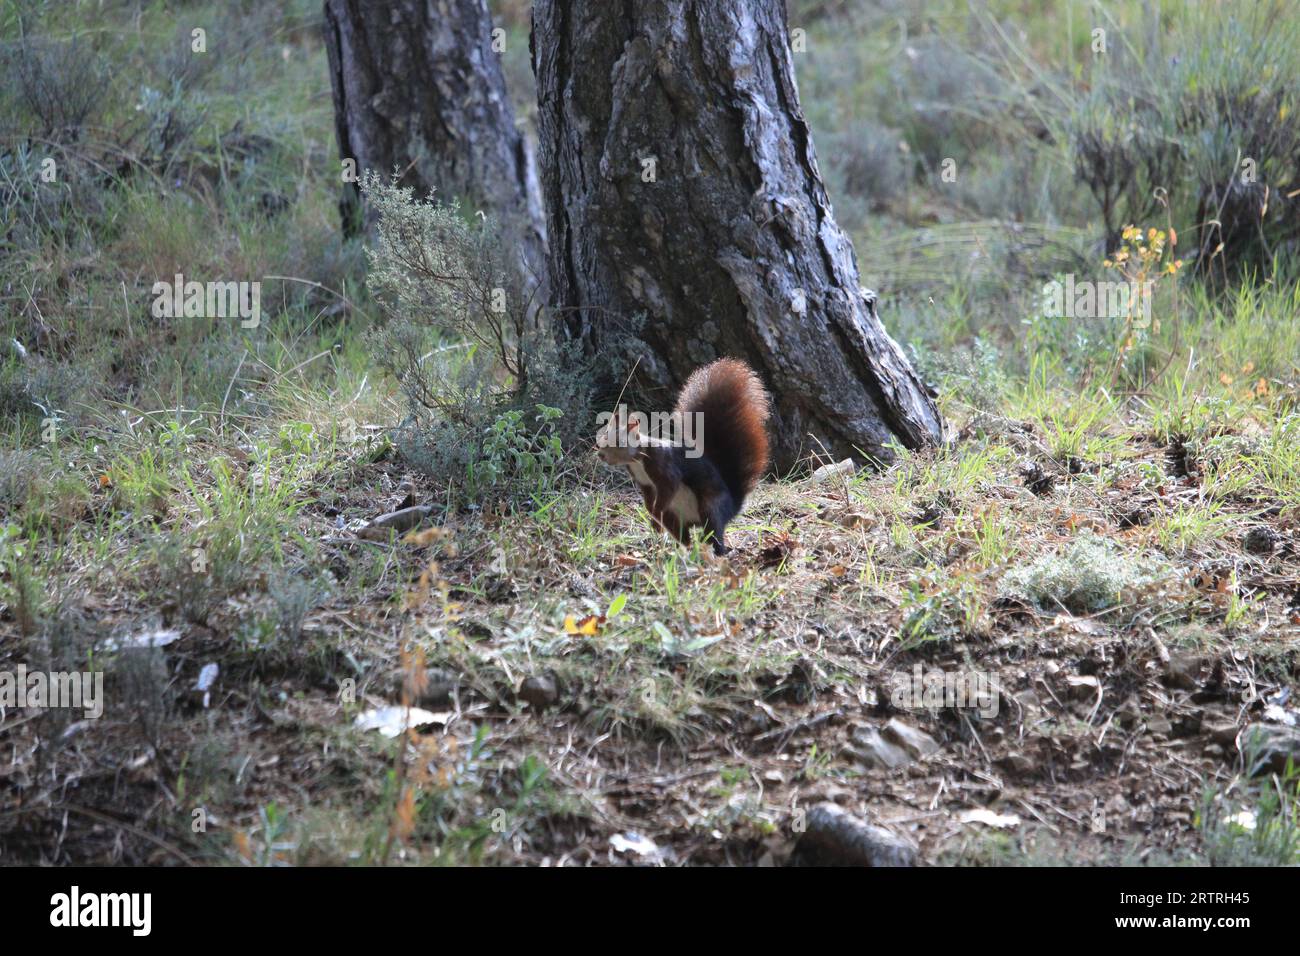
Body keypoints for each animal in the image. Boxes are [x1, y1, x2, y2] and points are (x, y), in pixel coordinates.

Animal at [595, 358, 770, 555]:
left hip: (711, 507)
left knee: (714, 532)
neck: (638, 459)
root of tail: (732, 506)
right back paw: (681, 552)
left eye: (618, 441)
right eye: (604, 435)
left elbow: (668, 487)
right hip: (674, 517)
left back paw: (717, 552)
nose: (600, 454)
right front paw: (653, 517)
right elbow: (648, 498)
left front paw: (655, 515)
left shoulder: (663, 466)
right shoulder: (644, 482)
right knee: (683, 535)